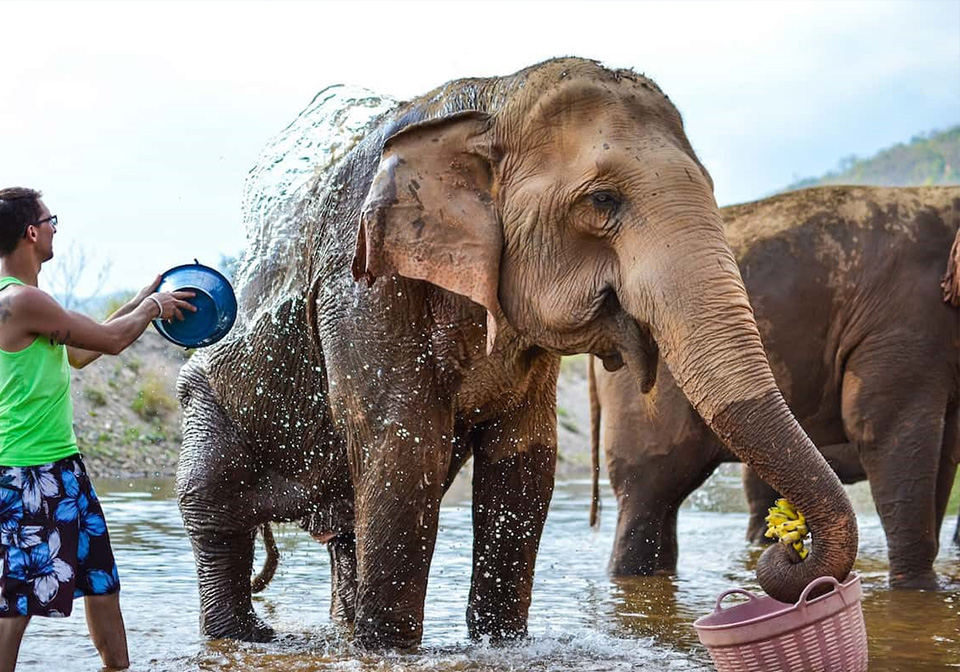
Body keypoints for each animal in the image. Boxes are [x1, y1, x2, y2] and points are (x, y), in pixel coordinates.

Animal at [176, 59, 860, 652]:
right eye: (603, 202)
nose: (788, 549)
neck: (492, 98)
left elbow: (526, 459)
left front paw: (500, 644)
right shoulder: (363, 280)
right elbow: (403, 445)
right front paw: (389, 651)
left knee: (344, 534)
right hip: (206, 406)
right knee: (211, 509)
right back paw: (247, 637)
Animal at [584, 184, 960, 588]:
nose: (792, 549)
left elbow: (945, 448)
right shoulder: (902, 320)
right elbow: (882, 429)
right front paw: (916, 591)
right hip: (639, 391)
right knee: (648, 492)